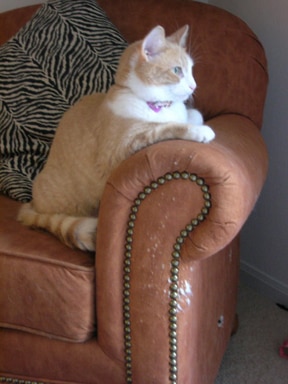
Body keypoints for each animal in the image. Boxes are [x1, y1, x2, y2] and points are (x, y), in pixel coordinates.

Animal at [17, 24, 214, 252]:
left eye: (191, 70)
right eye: (177, 71)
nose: (194, 86)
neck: (154, 105)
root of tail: (31, 204)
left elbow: (193, 115)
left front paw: (195, 119)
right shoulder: (123, 146)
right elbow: (164, 128)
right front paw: (200, 131)